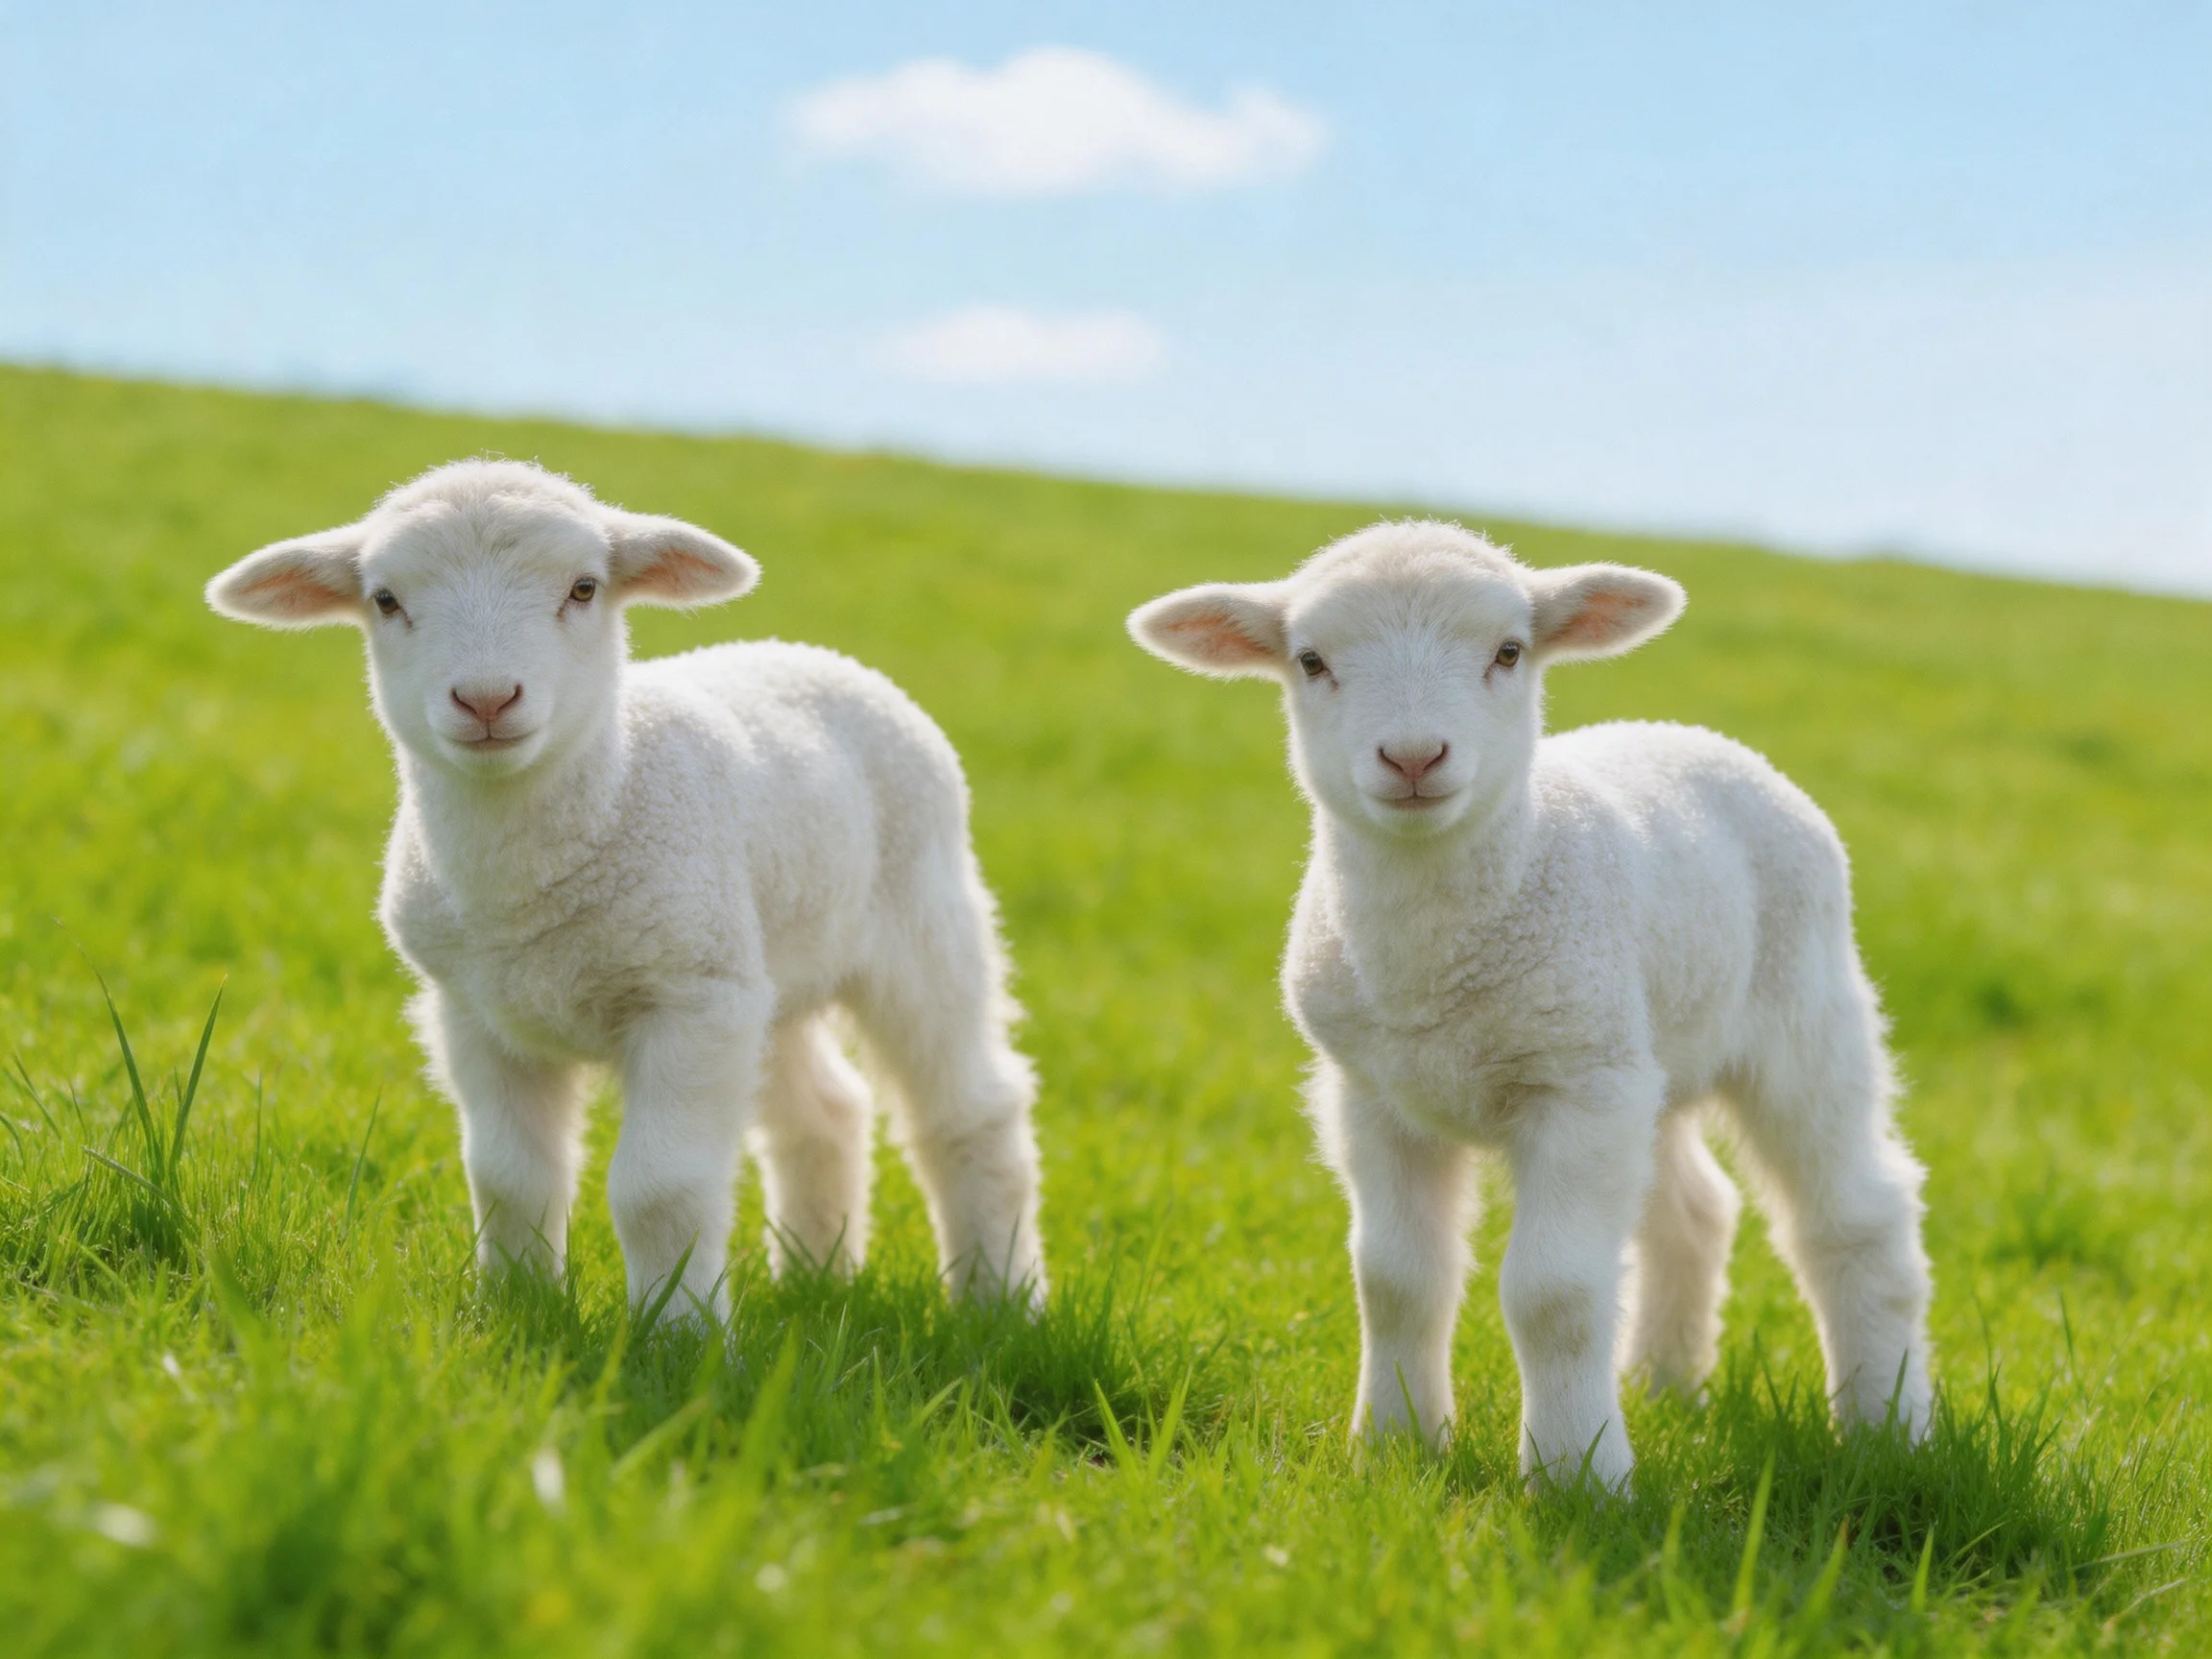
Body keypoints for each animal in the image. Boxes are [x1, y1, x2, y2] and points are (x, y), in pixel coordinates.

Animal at [207, 460, 1046, 1319]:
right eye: (384, 599)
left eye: (584, 588)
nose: (486, 699)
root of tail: (810, 653)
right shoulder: (477, 1012)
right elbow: (509, 1178)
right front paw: (519, 1308)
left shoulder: (689, 1000)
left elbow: (661, 1190)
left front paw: (680, 1333)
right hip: (765, 965)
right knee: (827, 1114)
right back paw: (815, 1280)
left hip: (922, 923)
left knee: (970, 1113)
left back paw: (1000, 1303)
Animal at [1129, 520, 1932, 1488]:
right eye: (1311, 661)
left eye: (1509, 652)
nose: (1413, 757)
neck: (1435, 970)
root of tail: (1694, 734)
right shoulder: (1376, 1093)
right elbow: (1396, 1280)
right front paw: (1394, 1446)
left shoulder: (1575, 1090)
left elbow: (1555, 1293)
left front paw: (1578, 1476)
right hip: (1644, 1052)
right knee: (1694, 1212)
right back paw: (1666, 1386)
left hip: (1798, 1016)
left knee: (1854, 1219)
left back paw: (1888, 1431)